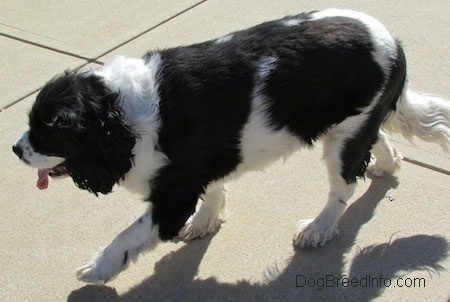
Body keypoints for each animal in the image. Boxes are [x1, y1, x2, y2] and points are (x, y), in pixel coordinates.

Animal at [12, 8, 448, 284]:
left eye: (47, 131)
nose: (16, 149)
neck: (120, 111)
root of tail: (392, 41)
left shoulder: (172, 196)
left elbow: (128, 237)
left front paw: (98, 269)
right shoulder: (202, 167)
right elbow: (214, 189)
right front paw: (206, 220)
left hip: (341, 140)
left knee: (343, 186)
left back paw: (319, 227)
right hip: (351, 122)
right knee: (379, 137)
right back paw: (386, 165)